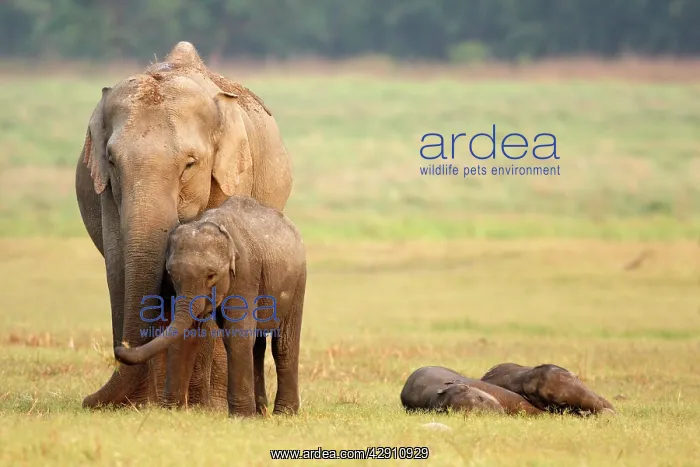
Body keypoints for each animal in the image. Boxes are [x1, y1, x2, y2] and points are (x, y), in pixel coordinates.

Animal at [75, 41, 293, 409]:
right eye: (113, 161)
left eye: (190, 164)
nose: (88, 402)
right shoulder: (104, 190)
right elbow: (118, 268)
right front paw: (148, 405)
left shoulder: (231, 176)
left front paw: (205, 407)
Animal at [114, 195, 307, 417]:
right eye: (170, 273)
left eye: (211, 275)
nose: (120, 348)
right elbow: (187, 332)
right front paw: (172, 411)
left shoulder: (246, 272)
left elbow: (237, 334)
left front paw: (242, 418)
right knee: (257, 346)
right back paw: (261, 413)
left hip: (298, 281)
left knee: (283, 344)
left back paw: (284, 413)